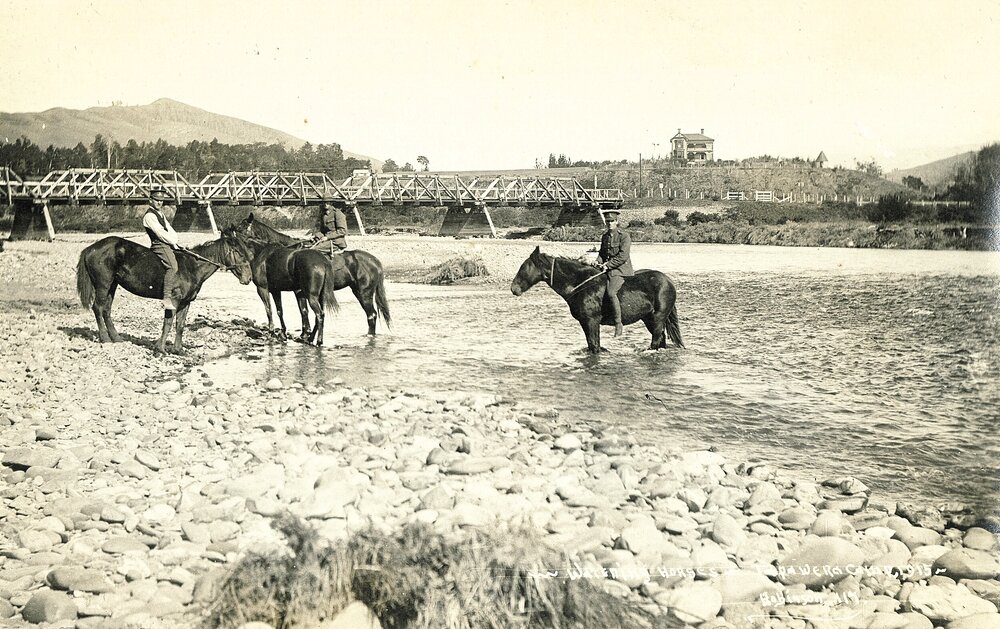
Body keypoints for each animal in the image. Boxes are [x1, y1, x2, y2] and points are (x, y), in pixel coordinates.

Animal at [76, 230, 254, 354]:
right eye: (239, 252)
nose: (249, 278)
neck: (191, 267)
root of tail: (91, 248)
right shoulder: (173, 300)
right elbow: (168, 323)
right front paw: (160, 348)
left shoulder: (185, 303)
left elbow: (180, 325)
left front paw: (178, 350)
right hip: (103, 285)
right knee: (98, 308)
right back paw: (105, 338)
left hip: (112, 286)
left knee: (106, 310)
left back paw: (117, 338)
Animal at [236, 213, 391, 336]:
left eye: (242, 227)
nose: (233, 234)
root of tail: (375, 262)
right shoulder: (299, 291)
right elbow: (303, 311)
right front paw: (306, 332)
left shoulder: (298, 291)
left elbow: (303, 311)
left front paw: (306, 332)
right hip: (358, 291)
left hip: (364, 293)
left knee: (371, 315)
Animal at [510, 246, 683, 354]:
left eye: (524, 267)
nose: (513, 288)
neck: (581, 284)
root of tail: (668, 281)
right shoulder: (586, 323)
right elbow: (593, 345)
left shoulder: (591, 321)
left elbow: (594, 346)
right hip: (648, 318)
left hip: (658, 317)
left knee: (656, 340)